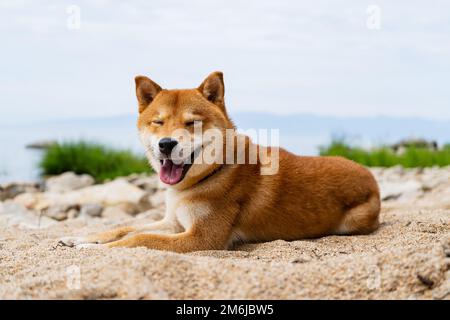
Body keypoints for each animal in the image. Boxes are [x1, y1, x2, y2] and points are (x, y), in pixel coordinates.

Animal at [59, 71, 380, 251]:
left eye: (191, 123)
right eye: (158, 122)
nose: (166, 144)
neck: (207, 177)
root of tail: (371, 177)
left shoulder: (200, 238)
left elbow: (138, 240)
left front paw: (91, 248)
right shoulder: (173, 222)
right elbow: (125, 228)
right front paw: (81, 237)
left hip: (353, 221)